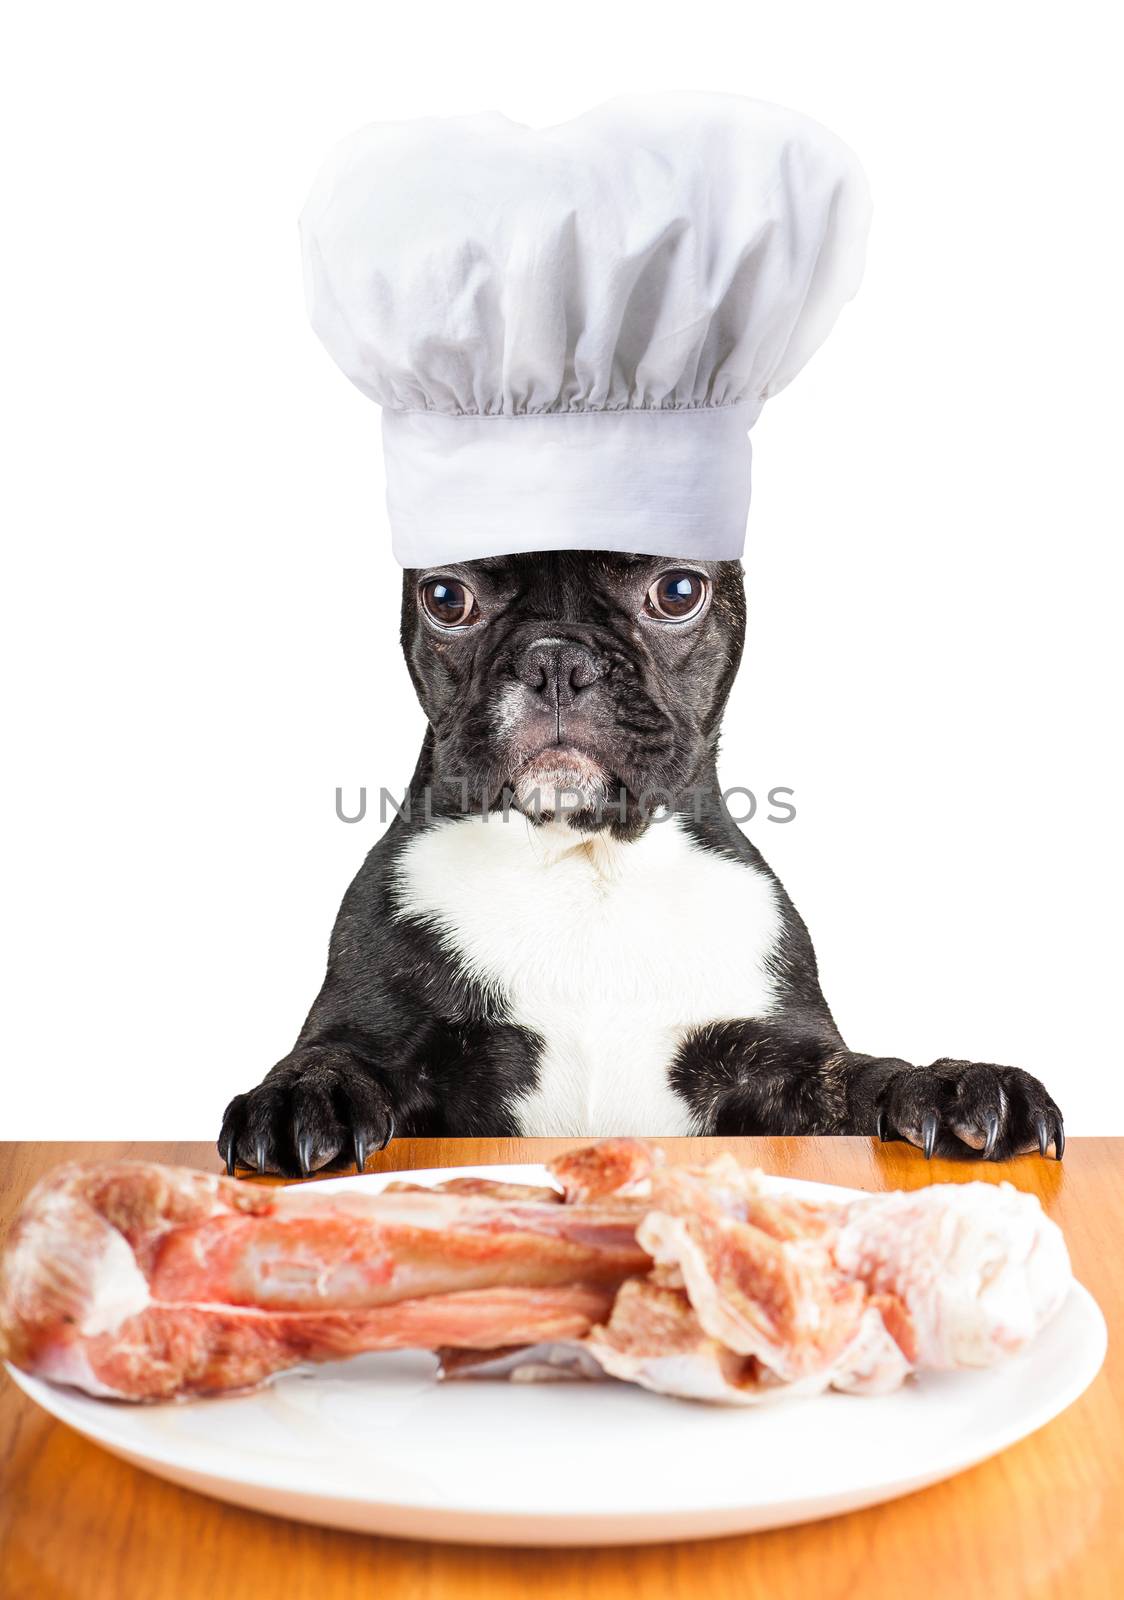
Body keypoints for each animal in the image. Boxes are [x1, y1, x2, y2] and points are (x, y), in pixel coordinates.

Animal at [217, 550, 1063, 1177]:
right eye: (446, 598)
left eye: (679, 591)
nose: (556, 660)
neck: (584, 863)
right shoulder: (380, 1029)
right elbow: (331, 1054)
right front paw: (305, 1095)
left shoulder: (775, 1065)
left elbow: (856, 1074)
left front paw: (944, 1082)